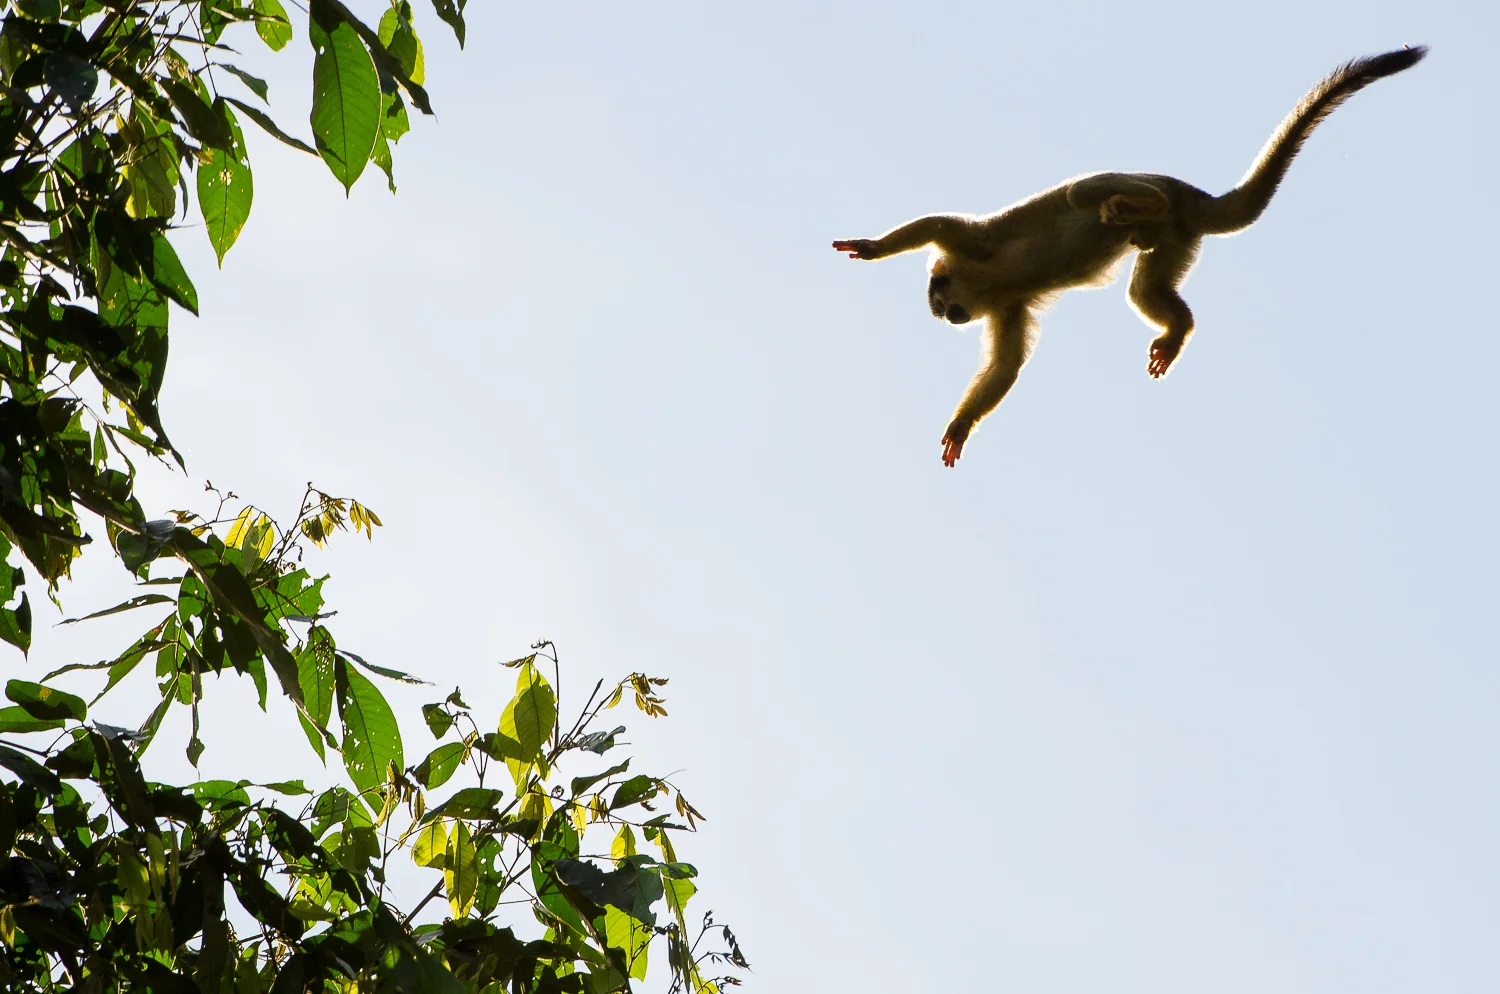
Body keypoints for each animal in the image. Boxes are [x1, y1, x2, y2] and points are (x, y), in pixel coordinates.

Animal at [833, 46, 1427, 467]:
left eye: (941, 302)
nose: (947, 315)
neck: (987, 282)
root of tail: (1187, 196)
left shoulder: (975, 245)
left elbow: (940, 223)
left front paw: (871, 248)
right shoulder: (1008, 306)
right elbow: (1005, 367)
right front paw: (961, 427)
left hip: (1151, 189)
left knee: (1083, 195)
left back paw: (1130, 206)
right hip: (1178, 238)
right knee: (1146, 286)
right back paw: (1176, 321)